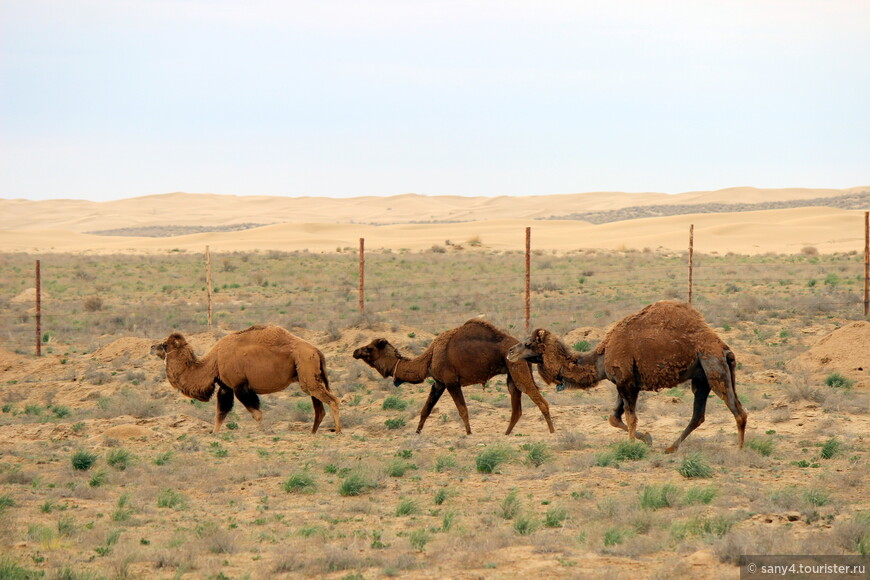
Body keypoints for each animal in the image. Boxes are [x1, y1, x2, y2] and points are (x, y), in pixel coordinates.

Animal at [150, 324, 340, 432]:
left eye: (165, 344)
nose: (152, 347)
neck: (214, 361)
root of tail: (317, 351)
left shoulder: (240, 386)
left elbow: (257, 413)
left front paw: (261, 433)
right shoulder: (226, 387)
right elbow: (220, 413)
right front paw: (215, 434)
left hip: (307, 371)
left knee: (332, 400)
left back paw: (338, 431)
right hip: (309, 378)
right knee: (319, 408)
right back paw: (312, 433)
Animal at [354, 318, 560, 436]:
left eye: (369, 348)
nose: (355, 352)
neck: (429, 357)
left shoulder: (451, 382)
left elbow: (463, 410)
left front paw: (468, 433)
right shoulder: (438, 383)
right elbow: (425, 410)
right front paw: (417, 432)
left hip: (517, 368)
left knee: (538, 399)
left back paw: (552, 432)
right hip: (512, 372)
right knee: (516, 407)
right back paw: (506, 434)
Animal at [510, 300, 748, 454]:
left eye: (528, 344)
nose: (510, 352)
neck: (601, 356)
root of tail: (725, 349)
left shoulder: (627, 383)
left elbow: (631, 417)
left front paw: (631, 445)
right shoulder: (621, 383)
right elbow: (614, 418)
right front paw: (647, 439)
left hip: (714, 368)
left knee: (738, 411)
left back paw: (739, 450)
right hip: (701, 378)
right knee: (699, 415)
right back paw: (671, 448)